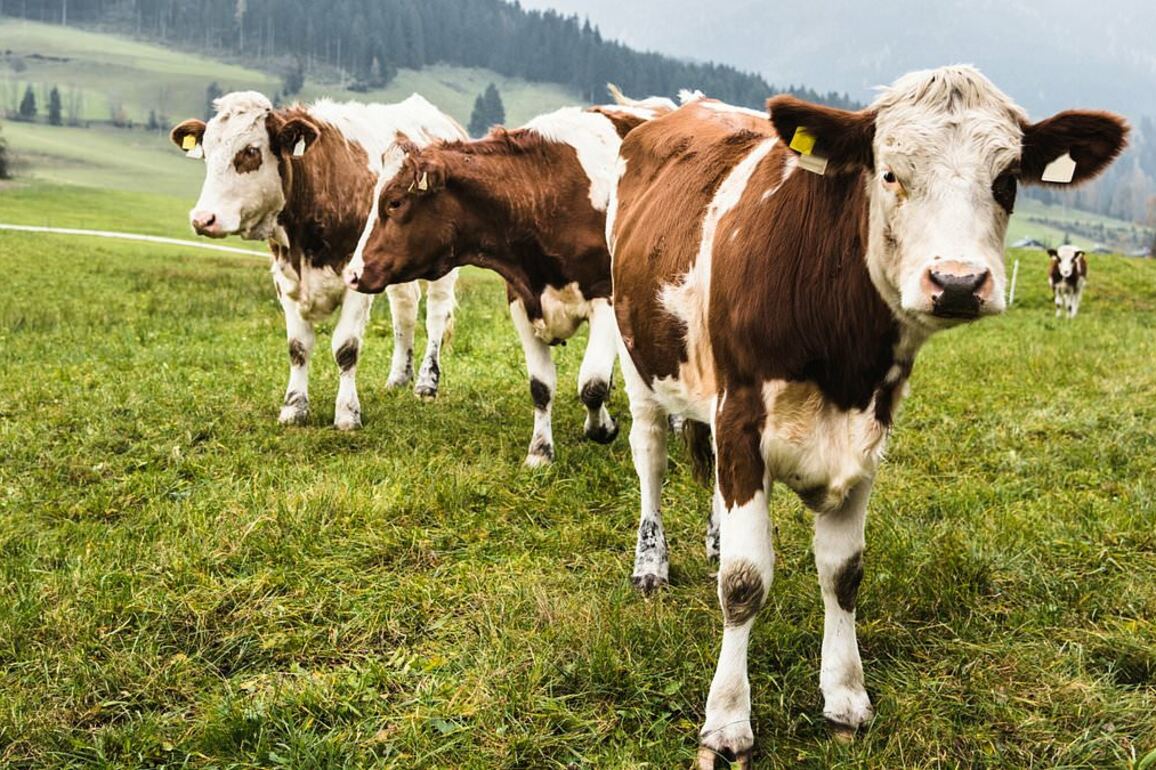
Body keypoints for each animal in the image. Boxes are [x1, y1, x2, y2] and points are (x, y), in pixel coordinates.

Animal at [169, 92, 466, 430]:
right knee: (404, 309)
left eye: (250, 151)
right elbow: (298, 347)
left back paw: (427, 383)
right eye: (207, 152)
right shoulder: (285, 278)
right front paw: (294, 408)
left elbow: (346, 348)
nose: (202, 218)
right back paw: (399, 378)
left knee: (436, 314)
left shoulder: (355, 279)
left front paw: (347, 414)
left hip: (442, 267)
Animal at [343, 91, 676, 465]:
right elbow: (541, 387)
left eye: (395, 203)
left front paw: (602, 428)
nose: (353, 273)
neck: (544, 194)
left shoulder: (605, 298)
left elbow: (592, 384)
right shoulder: (520, 298)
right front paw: (540, 452)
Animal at [608, 66, 1127, 766]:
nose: (957, 283)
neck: (838, 353)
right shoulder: (741, 414)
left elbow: (843, 572)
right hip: (638, 358)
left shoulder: (866, 430)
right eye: (888, 173)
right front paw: (727, 720)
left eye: (1007, 178)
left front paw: (846, 695)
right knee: (651, 457)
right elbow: (745, 582)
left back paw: (714, 538)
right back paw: (651, 564)